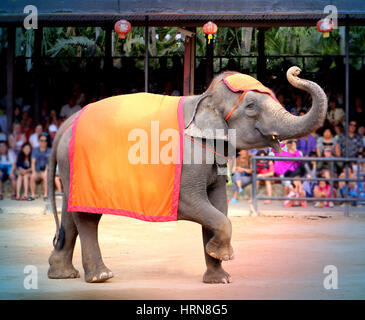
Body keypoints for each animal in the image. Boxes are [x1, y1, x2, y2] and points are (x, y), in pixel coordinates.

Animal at [46, 67, 328, 282]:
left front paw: (219, 278)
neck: (205, 96)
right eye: (250, 105)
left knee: (71, 214)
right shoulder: (188, 161)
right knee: (87, 218)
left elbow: (218, 207)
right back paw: (101, 276)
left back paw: (62, 274)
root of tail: (69, 122)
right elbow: (198, 205)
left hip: (71, 169)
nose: (295, 70)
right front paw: (223, 255)